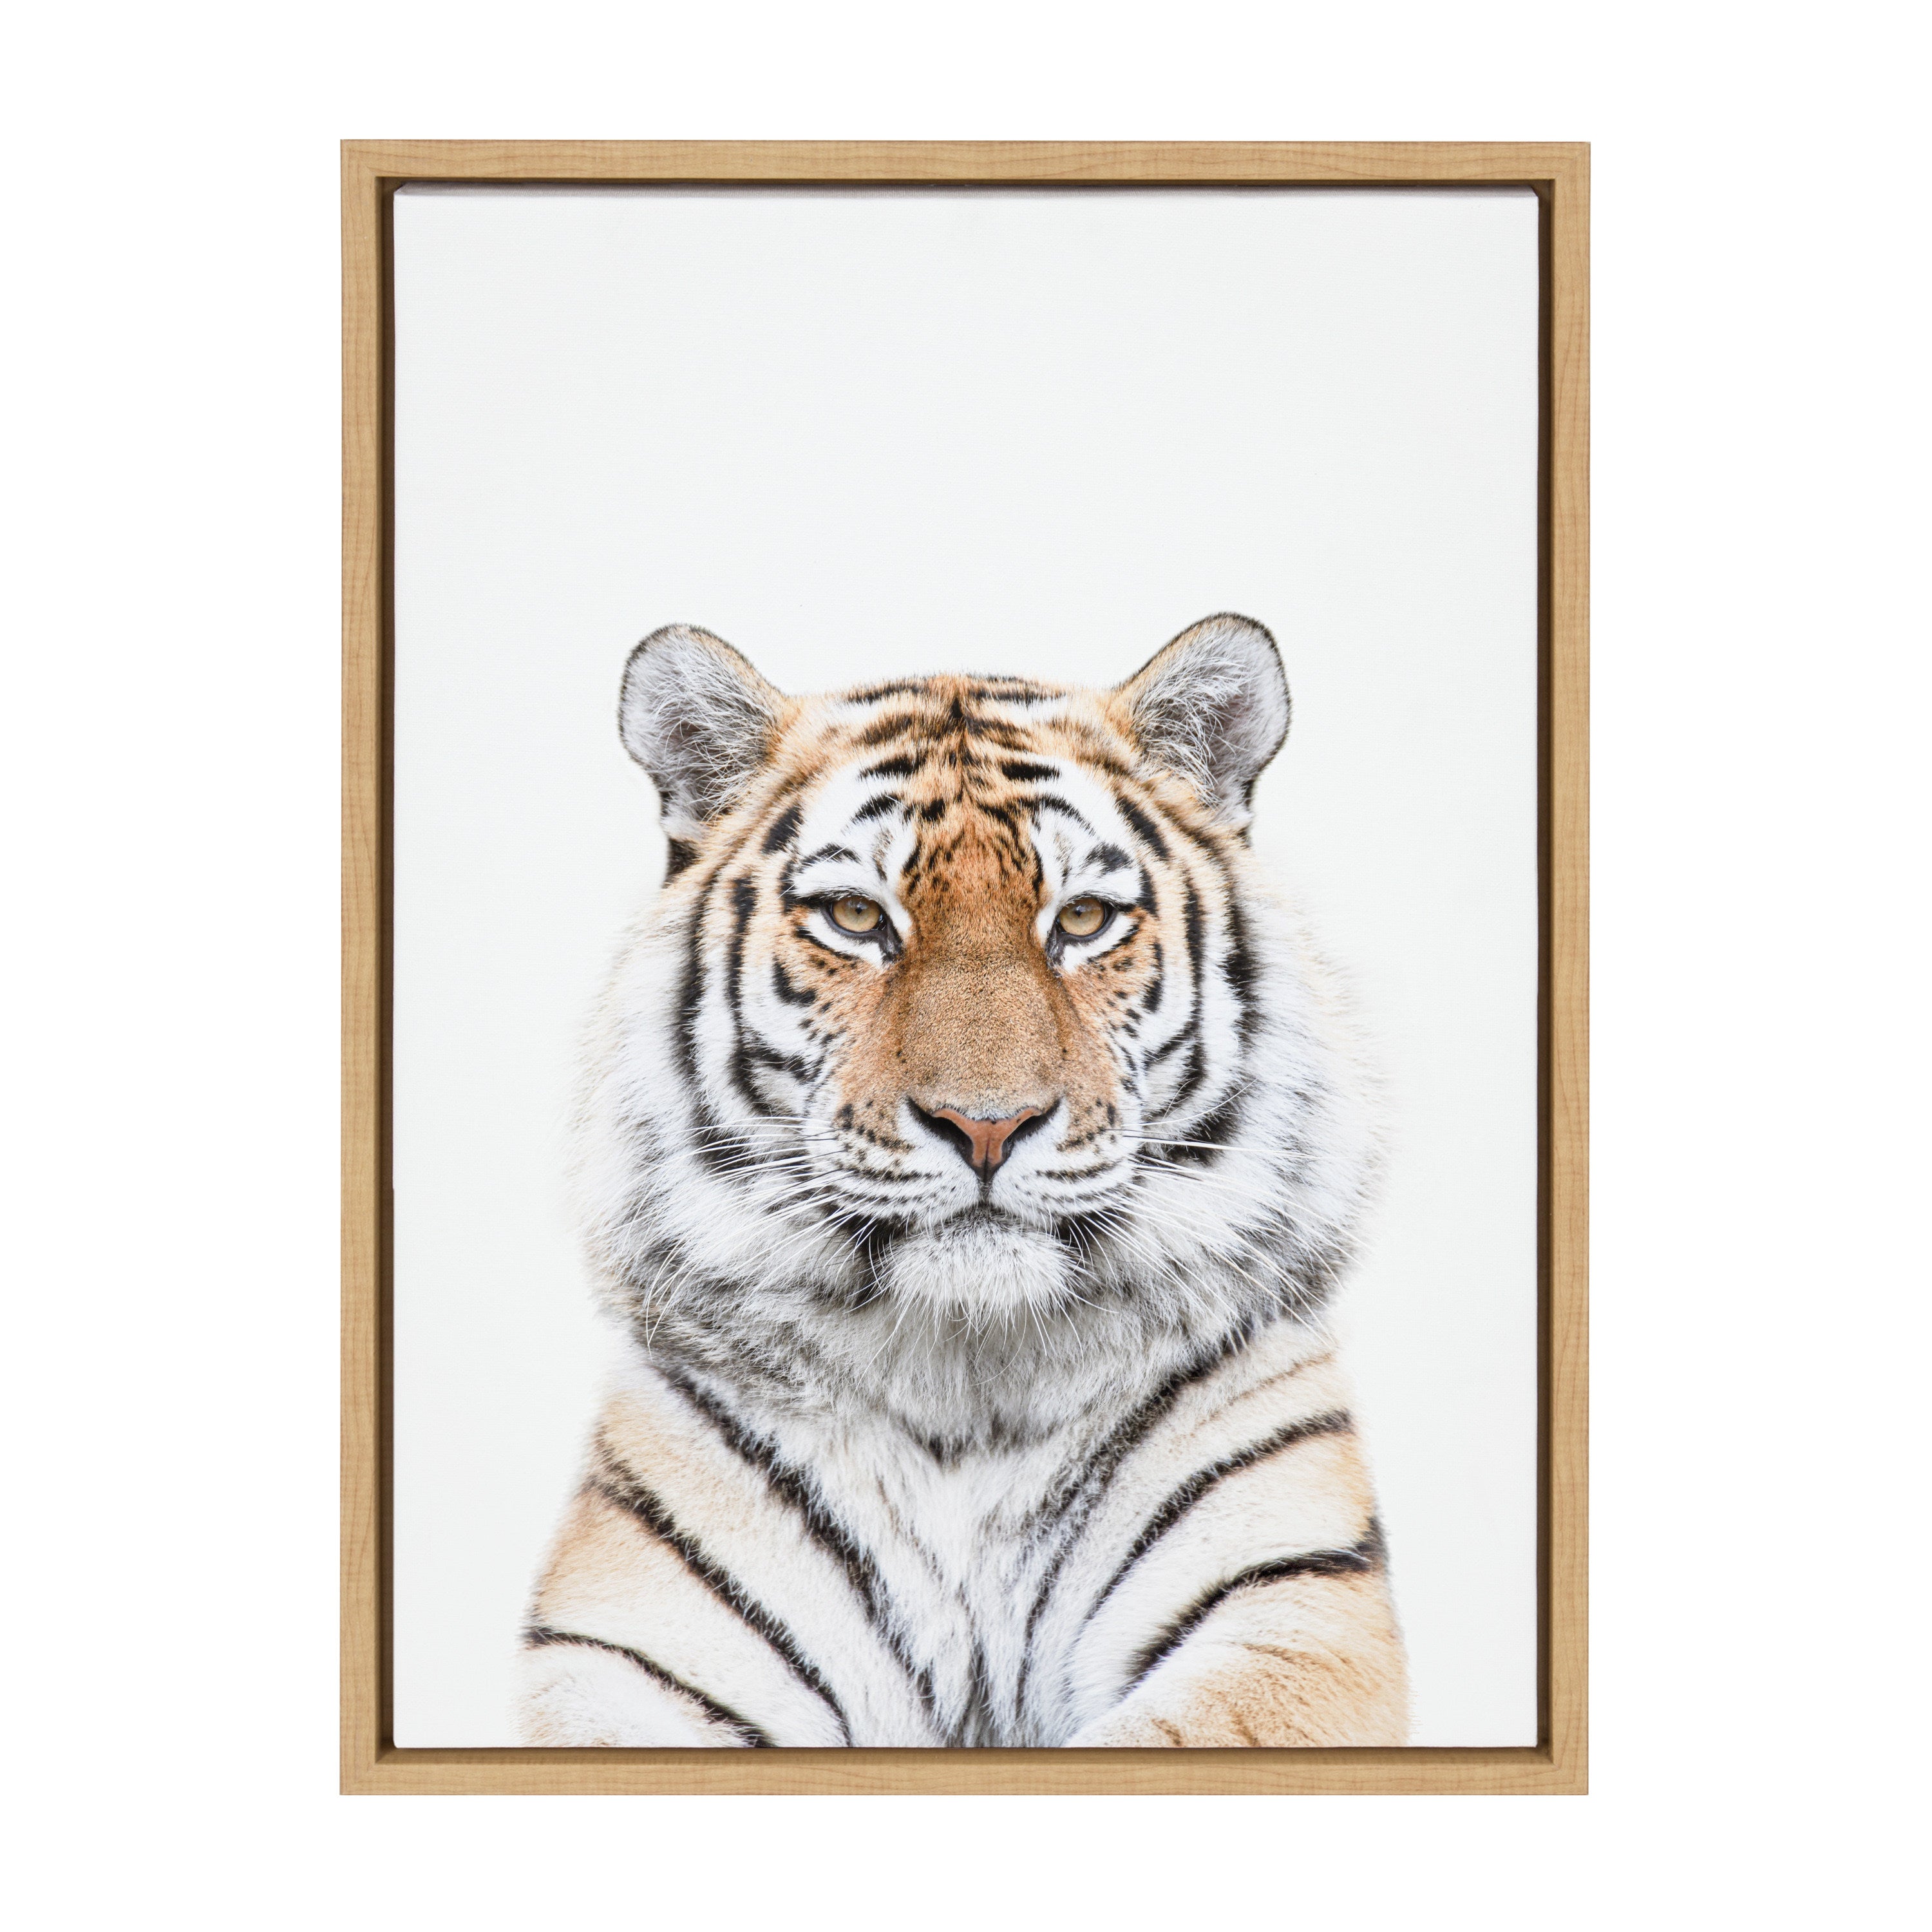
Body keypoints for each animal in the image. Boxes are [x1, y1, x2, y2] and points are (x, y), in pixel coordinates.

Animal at [516, 613, 1408, 1748]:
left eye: (1083, 921)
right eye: (856, 918)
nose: (988, 1125)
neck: (969, 1392)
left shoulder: (1291, 1613)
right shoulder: (629, 1654)